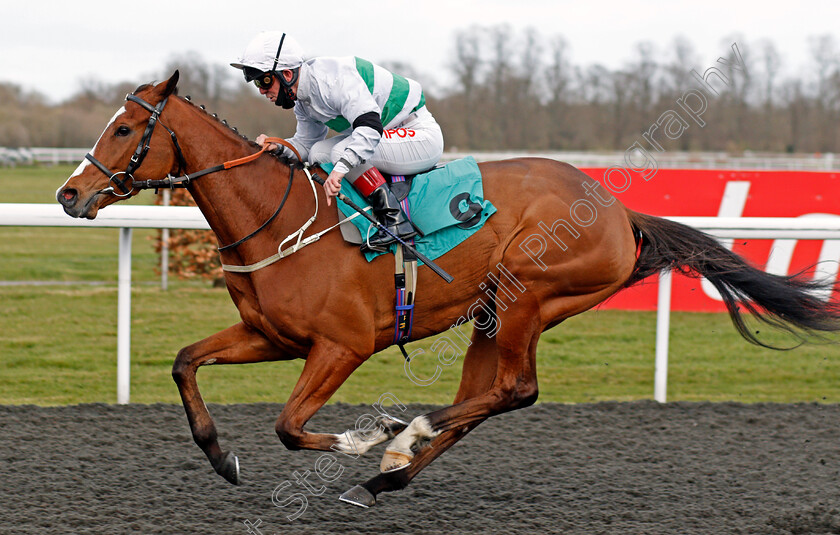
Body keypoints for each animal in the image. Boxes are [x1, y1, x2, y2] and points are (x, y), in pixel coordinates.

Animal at [55, 73, 836, 508]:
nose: (68, 193)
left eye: (126, 127)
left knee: (513, 390)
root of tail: (619, 210)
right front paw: (221, 457)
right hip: (495, 311)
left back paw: (400, 442)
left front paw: (367, 433)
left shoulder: (341, 345)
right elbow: (185, 361)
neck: (275, 218)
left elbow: (290, 424)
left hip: (527, 294)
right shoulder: (271, 336)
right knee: (487, 397)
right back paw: (390, 474)